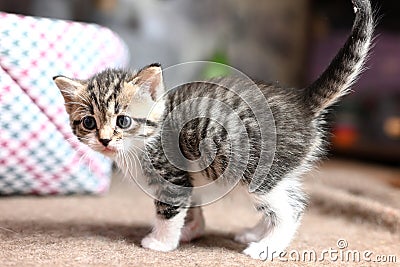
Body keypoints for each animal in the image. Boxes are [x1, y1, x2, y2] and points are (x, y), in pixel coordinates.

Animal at [54, 0, 376, 260]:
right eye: (89, 122)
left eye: (122, 121)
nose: (105, 140)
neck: (142, 144)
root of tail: (301, 101)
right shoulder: (189, 179)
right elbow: (192, 208)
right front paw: (192, 230)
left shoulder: (172, 176)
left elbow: (169, 210)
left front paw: (161, 243)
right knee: (289, 199)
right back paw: (255, 233)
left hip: (252, 166)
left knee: (291, 210)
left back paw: (265, 247)